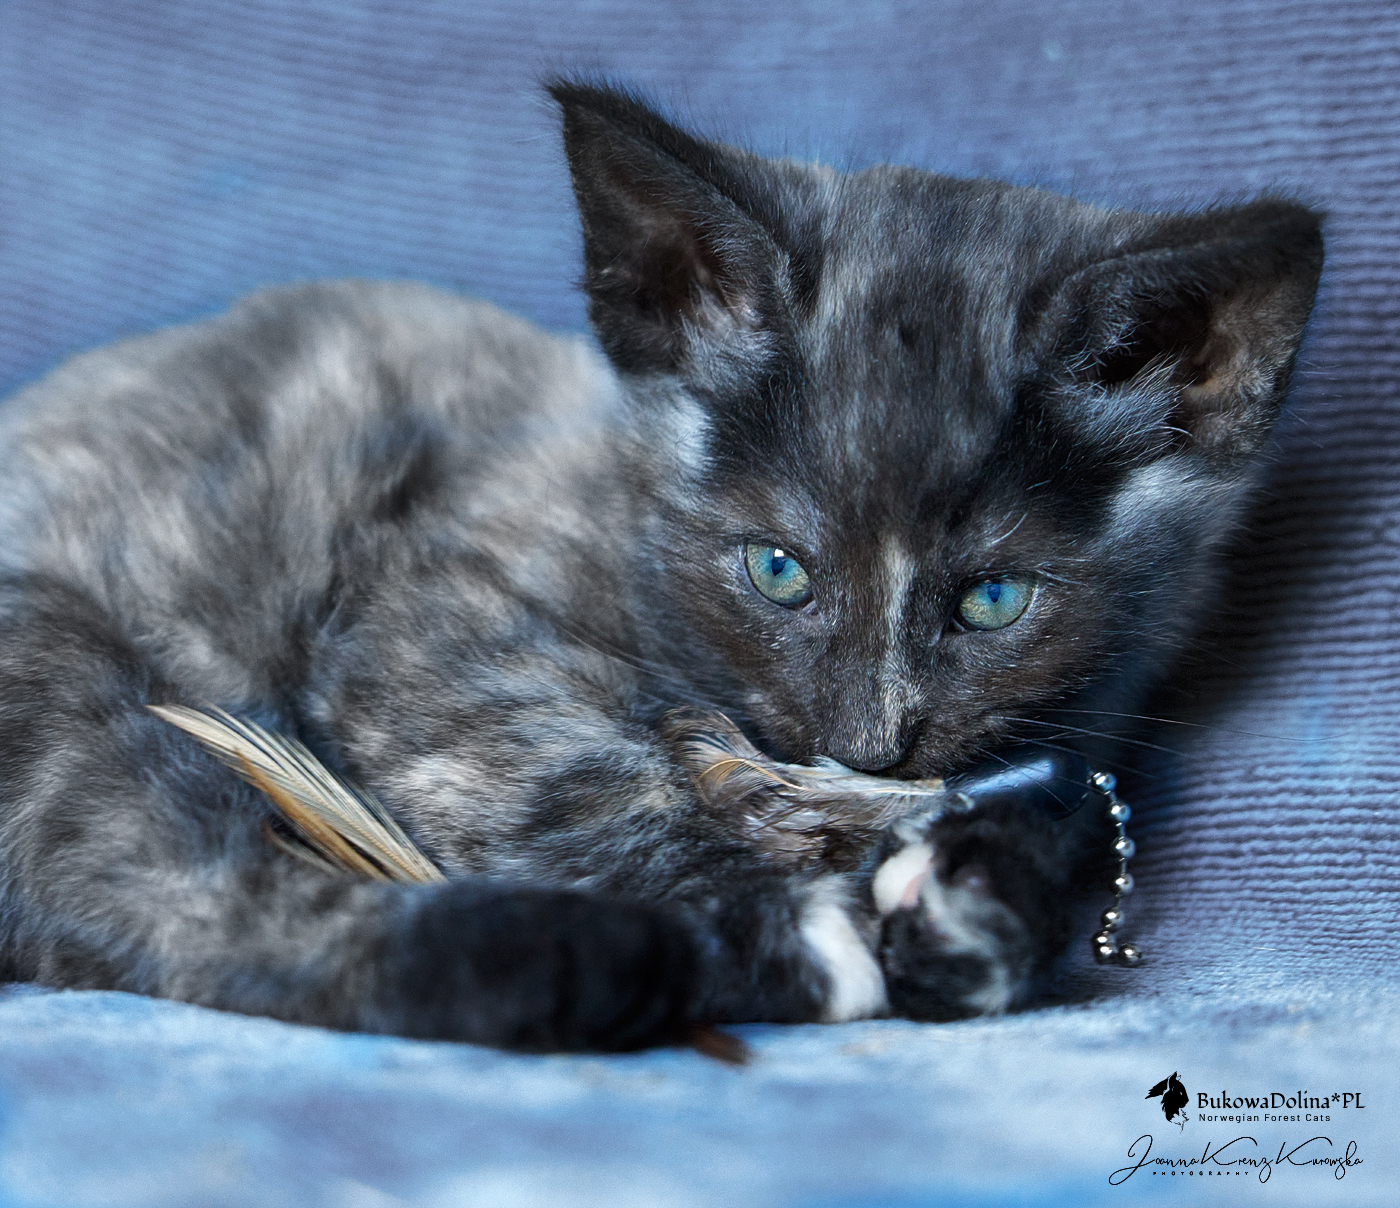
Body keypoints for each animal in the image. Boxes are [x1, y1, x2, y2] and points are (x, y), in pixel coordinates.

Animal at [0, 81, 1322, 1051]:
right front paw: (796, 909)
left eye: (991, 599)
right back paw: (624, 957)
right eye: (778, 570)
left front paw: (986, 897)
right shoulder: (429, 631)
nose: (869, 740)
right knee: (170, 888)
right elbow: (585, 787)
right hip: (57, 652)